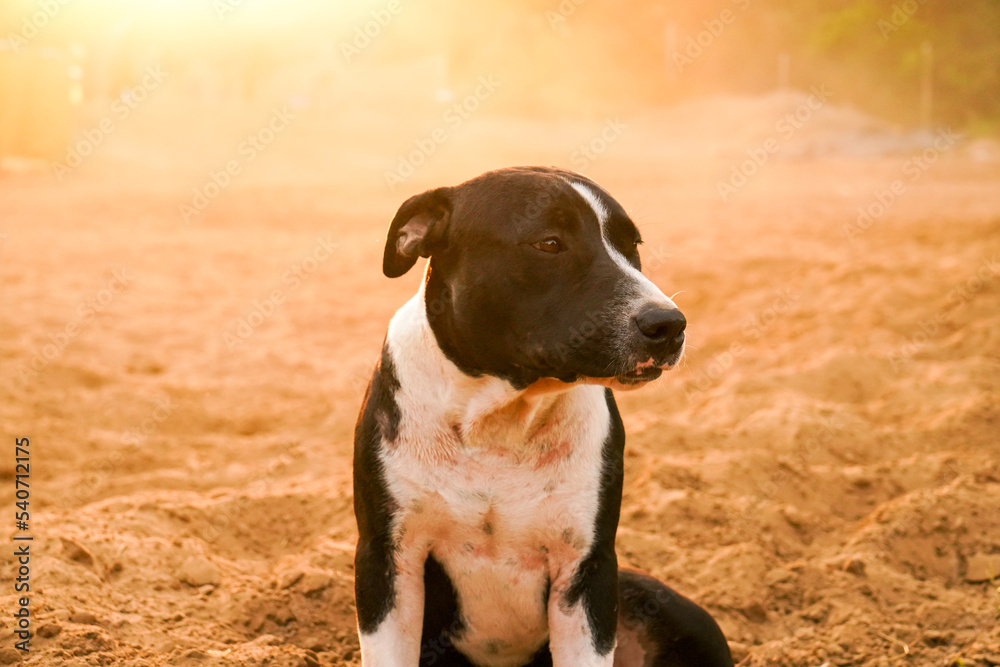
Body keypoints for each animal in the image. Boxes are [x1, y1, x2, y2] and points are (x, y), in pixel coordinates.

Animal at [356, 167, 732, 667]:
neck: (501, 418)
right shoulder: (387, 564)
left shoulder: (587, 569)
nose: (668, 323)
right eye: (549, 243)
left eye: (632, 244)